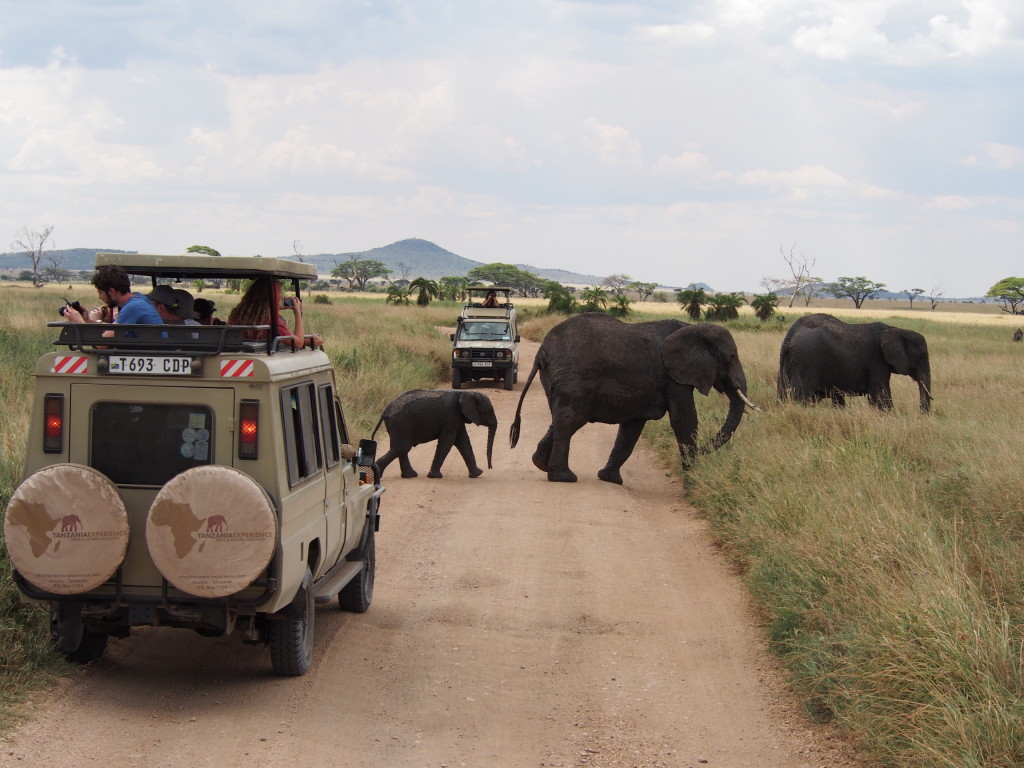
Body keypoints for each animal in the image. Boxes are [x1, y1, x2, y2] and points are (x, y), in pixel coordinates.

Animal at [507, 311, 757, 481]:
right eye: (731, 357)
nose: (703, 451)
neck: (692, 327)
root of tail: (542, 350)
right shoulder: (673, 377)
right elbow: (684, 420)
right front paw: (693, 482)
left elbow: (632, 427)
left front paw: (610, 479)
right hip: (573, 378)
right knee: (570, 420)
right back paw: (564, 477)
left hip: (558, 378)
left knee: (560, 419)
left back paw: (540, 464)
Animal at [774, 313, 937, 411]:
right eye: (921, 357)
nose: (921, 414)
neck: (896, 330)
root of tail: (791, 333)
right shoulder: (877, 361)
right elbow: (881, 394)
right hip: (807, 358)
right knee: (802, 397)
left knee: (784, 393)